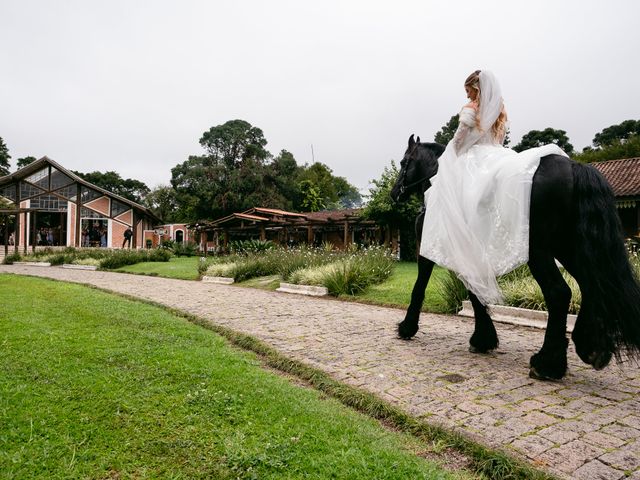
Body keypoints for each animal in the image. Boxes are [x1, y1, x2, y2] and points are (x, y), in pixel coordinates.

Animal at [390, 134, 640, 378]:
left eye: (403, 162)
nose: (394, 193)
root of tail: (574, 167)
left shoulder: (432, 250)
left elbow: (421, 288)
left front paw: (407, 327)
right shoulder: (468, 254)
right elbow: (475, 293)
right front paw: (483, 339)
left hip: (540, 251)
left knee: (559, 293)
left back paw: (547, 364)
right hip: (568, 248)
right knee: (592, 285)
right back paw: (591, 348)